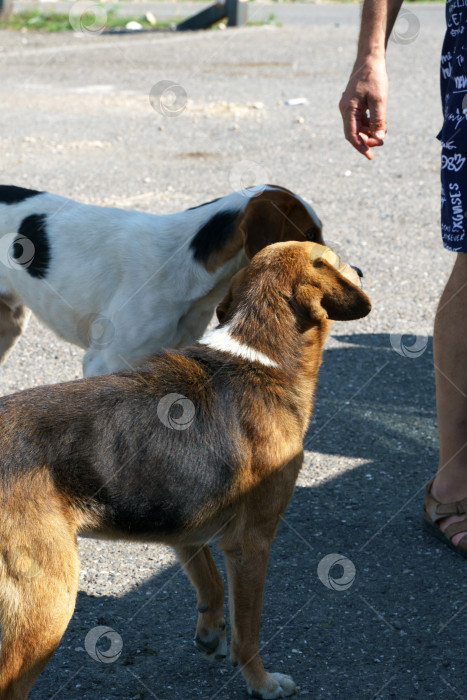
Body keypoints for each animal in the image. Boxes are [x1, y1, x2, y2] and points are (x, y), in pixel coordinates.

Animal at [0, 239, 372, 696]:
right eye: (335, 260)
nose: (361, 270)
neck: (260, 352)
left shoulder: (181, 522)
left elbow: (210, 581)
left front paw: (211, 633)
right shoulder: (251, 543)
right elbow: (248, 629)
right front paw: (261, 682)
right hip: (48, 600)